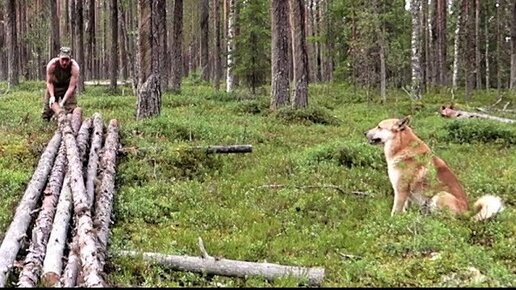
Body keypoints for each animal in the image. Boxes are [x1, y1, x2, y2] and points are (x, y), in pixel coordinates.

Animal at [362, 115, 504, 220]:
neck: (402, 147)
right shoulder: (405, 194)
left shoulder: (401, 190)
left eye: (379, 127)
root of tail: (467, 213)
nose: (364, 133)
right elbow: (404, 209)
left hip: (440, 195)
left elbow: (395, 212)